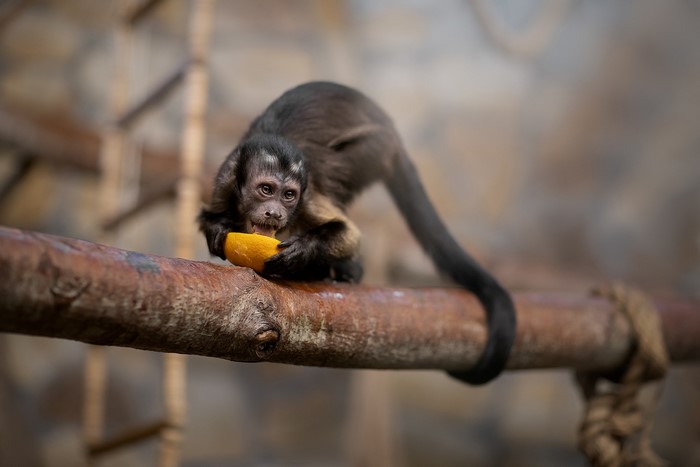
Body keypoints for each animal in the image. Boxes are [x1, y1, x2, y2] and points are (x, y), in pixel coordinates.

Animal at [199, 81, 516, 385]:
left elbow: (349, 235)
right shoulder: (225, 180)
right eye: (266, 189)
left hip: (375, 149)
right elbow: (211, 217)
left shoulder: (308, 195)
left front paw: (303, 252)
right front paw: (218, 228)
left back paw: (337, 269)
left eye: (288, 195)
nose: (275, 213)